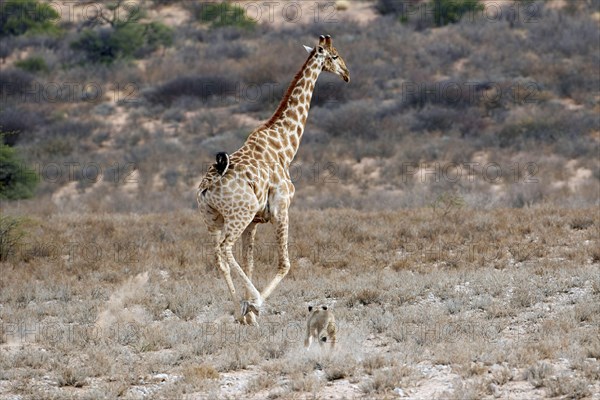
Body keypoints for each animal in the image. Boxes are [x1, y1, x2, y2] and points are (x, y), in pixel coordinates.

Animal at [198, 35, 346, 324]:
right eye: (334, 56)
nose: (346, 73)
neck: (284, 147)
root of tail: (208, 185)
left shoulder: (254, 222)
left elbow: (249, 263)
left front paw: (248, 312)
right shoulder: (281, 209)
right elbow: (284, 264)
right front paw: (255, 306)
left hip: (213, 220)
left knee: (219, 257)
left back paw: (238, 311)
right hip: (238, 215)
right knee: (225, 249)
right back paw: (251, 303)